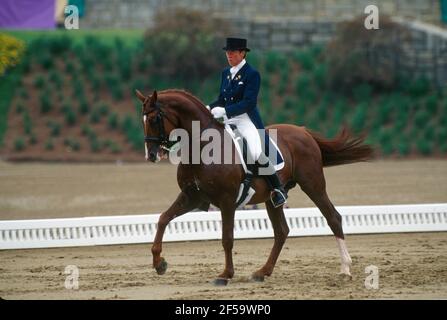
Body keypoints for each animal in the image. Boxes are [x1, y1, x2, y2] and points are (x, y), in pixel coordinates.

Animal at [136, 88, 374, 284]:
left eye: (155, 118)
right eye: (143, 119)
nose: (151, 155)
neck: (202, 146)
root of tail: (303, 131)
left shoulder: (227, 200)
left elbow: (227, 238)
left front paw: (225, 275)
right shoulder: (192, 197)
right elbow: (163, 219)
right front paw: (159, 263)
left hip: (313, 184)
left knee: (333, 217)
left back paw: (345, 269)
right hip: (273, 198)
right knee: (281, 231)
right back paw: (262, 272)